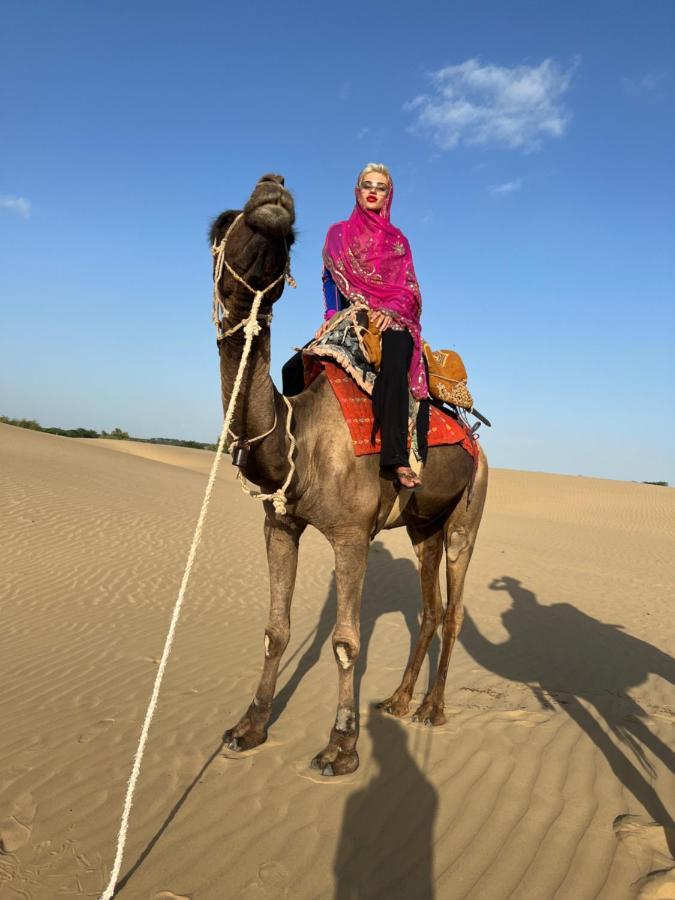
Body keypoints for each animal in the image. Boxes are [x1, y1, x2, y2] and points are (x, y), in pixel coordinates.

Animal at [210, 174, 486, 772]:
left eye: (289, 234)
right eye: (219, 225)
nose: (272, 190)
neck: (300, 437)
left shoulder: (352, 534)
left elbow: (345, 642)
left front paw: (340, 746)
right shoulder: (280, 523)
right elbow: (275, 630)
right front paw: (248, 727)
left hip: (470, 509)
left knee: (454, 608)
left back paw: (432, 709)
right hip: (423, 525)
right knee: (429, 608)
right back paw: (399, 701)